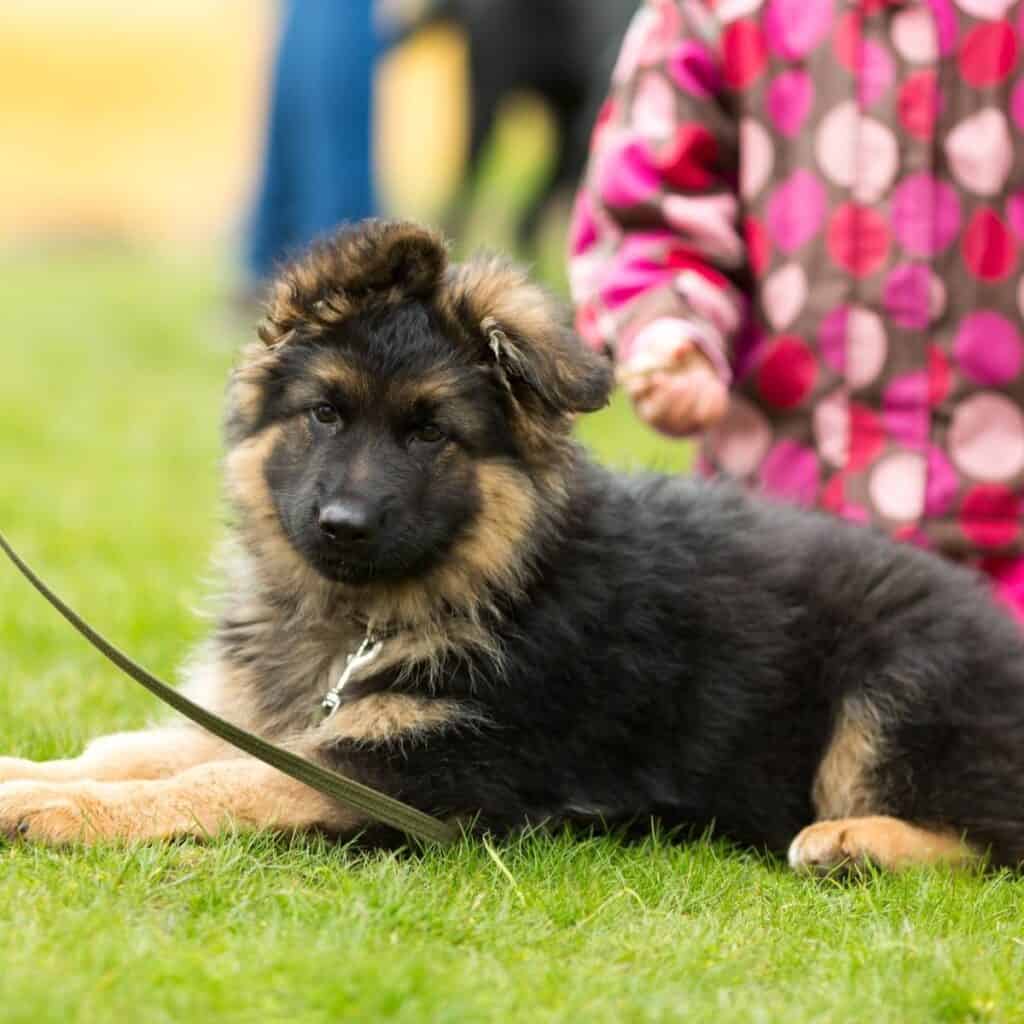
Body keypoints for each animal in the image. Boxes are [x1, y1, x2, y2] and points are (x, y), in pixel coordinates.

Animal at [6, 218, 1024, 872]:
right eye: (325, 414)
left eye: (430, 434)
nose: (343, 526)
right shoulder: (287, 719)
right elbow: (143, 749)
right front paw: (32, 774)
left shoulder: (417, 774)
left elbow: (218, 783)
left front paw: (57, 809)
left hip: (897, 687)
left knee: (989, 843)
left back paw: (856, 843)